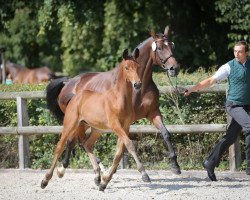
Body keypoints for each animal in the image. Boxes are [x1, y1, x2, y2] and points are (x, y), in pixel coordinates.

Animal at [41, 48, 149, 191]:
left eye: (138, 67)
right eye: (127, 67)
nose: (137, 84)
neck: (119, 99)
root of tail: (74, 96)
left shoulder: (125, 127)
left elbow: (119, 154)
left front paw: (104, 182)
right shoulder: (115, 125)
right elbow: (130, 145)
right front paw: (144, 174)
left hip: (96, 128)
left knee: (87, 144)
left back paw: (98, 176)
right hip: (70, 124)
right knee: (60, 146)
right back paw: (45, 180)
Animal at [46, 25, 181, 180]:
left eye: (171, 45)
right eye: (159, 48)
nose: (174, 68)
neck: (138, 89)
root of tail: (68, 82)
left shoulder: (152, 113)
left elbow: (165, 133)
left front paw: (175, 166)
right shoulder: (124, 121)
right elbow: (123, 145)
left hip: (88, 122)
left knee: (81, 141)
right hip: (79, 121)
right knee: (74, 140)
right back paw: (70, 169)